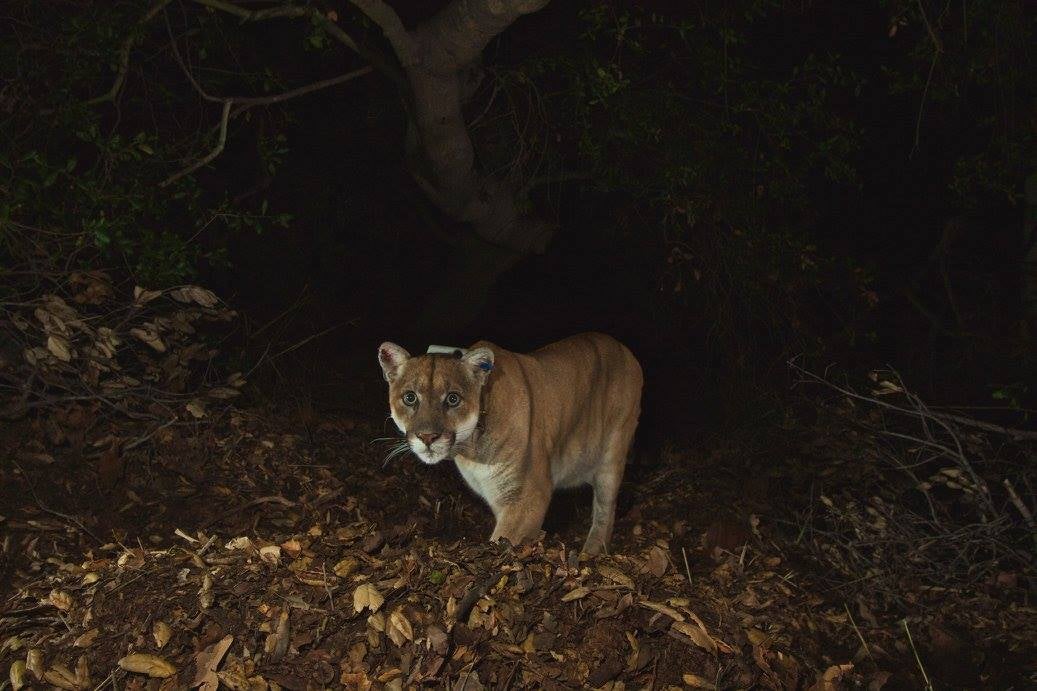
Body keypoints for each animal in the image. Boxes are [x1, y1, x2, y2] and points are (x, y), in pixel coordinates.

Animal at [377, 332, 642, 551]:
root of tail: (623, 348)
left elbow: (503, 541)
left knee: (606, 510)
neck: (471, 448)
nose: (428, 437)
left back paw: (592, 551)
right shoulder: (498, 495)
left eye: (453, 399)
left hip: (612, 455)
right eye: (410, 398)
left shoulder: (528, 496)